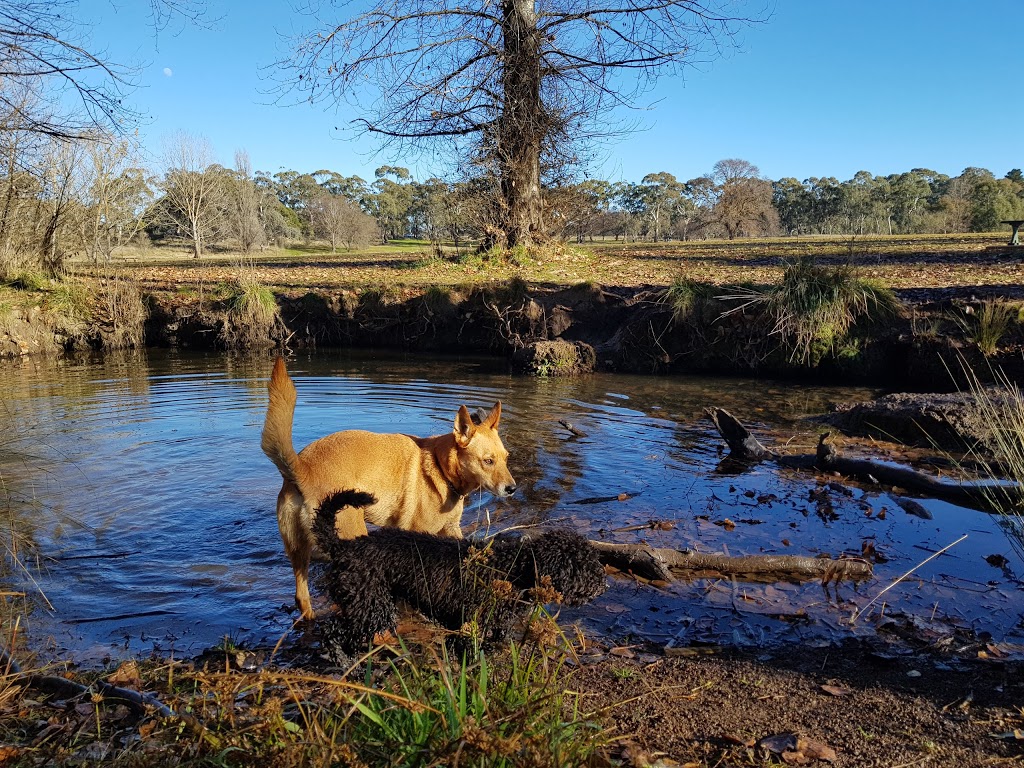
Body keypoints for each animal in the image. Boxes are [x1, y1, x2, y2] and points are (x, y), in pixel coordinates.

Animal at [260, 360, 516, 618]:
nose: (512, 489)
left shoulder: (451, 530)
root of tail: (302, 469)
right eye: (488, 461)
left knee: (301, 597)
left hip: (298, 552)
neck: (440, 467)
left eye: (506, 458)